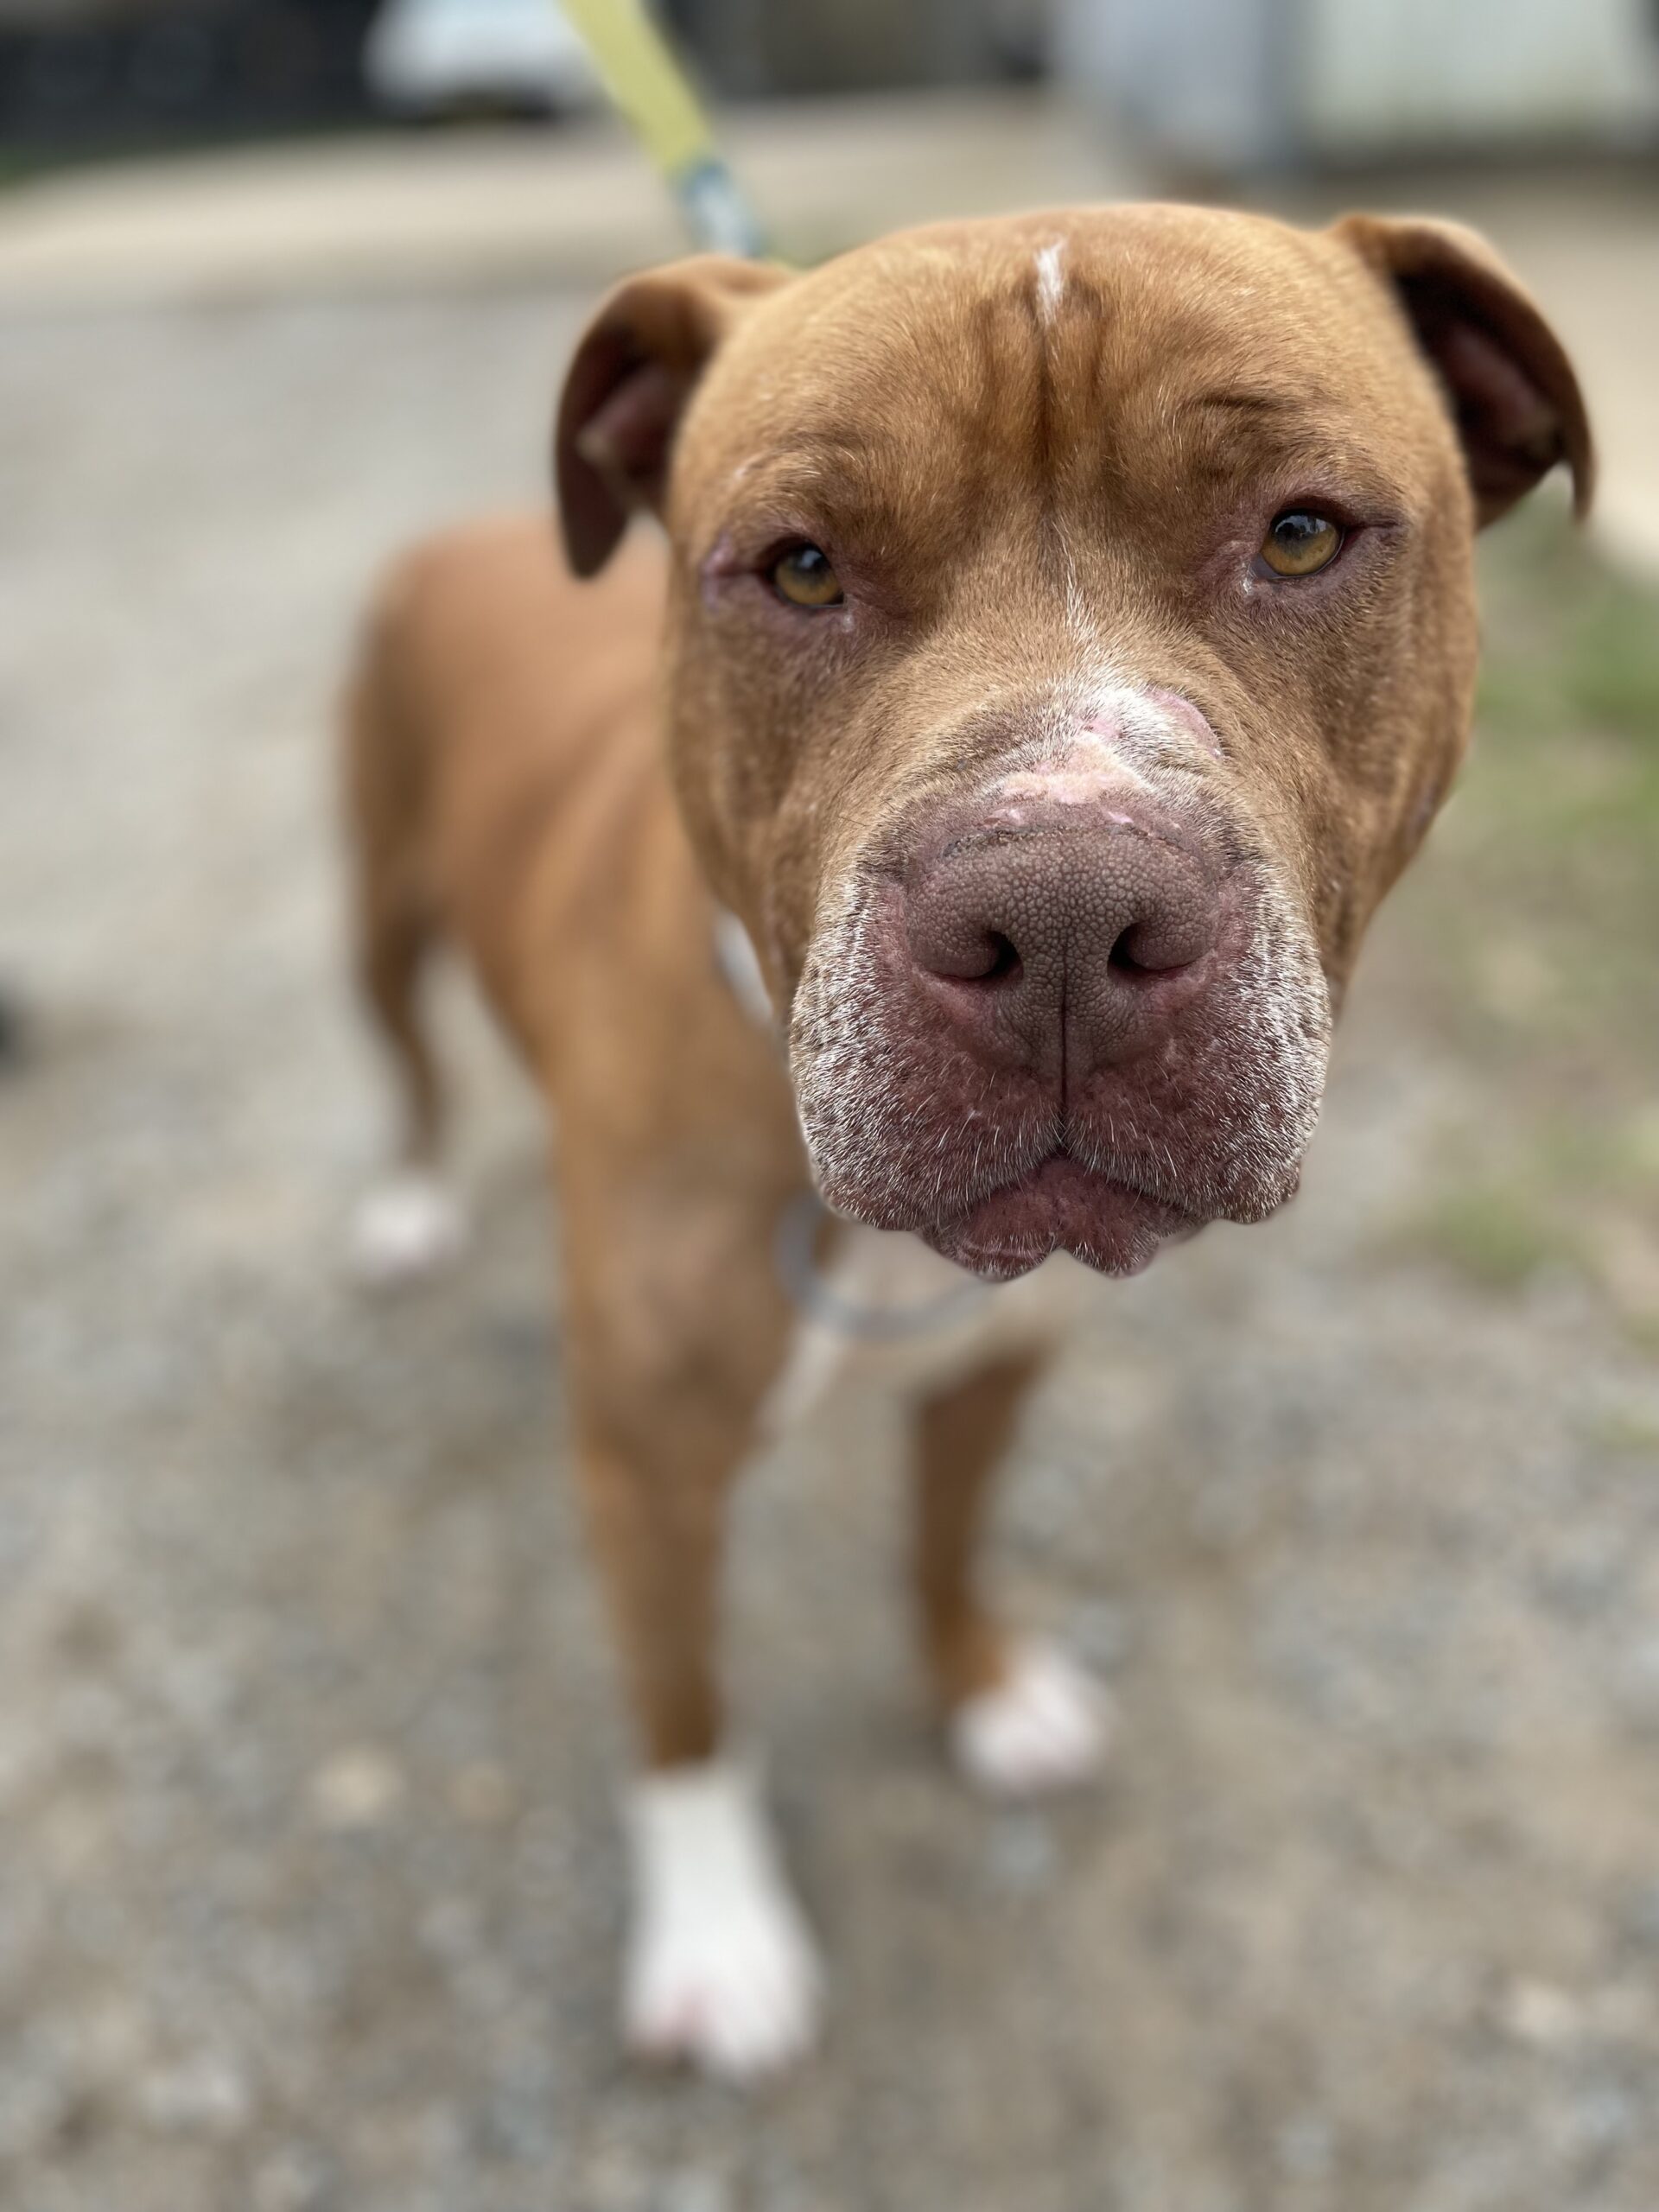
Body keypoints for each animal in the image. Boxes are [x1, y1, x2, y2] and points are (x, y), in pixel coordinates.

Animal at [339, 203, 1590, 2081]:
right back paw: (409, 1199)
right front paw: (718, 1937)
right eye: (798, 570)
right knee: (408, 1061)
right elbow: (683, 1710)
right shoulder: (647, 1467)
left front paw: (982, 1693)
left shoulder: (997, 1369)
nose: (1065, 912)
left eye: (1301, 534)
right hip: (378, 904)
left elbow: (944, 1543)